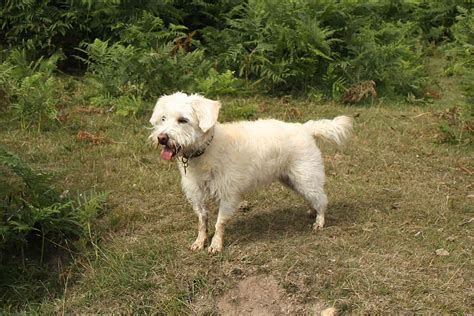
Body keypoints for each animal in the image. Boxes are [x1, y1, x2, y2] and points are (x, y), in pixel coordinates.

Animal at [149, 92, 352, 254]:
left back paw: (319, 221)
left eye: (183, 120)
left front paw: (216, 245)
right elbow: (202, 221)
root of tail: (304, 128)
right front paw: (200, 242)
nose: (162, 138)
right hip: (292, 180)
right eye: (163, 119)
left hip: (305, 177)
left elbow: (219, 223)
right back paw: (311, 211)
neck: (205, 151)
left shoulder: (228, 195)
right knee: (313, 197)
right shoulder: (197, 195)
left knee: (322, 199)